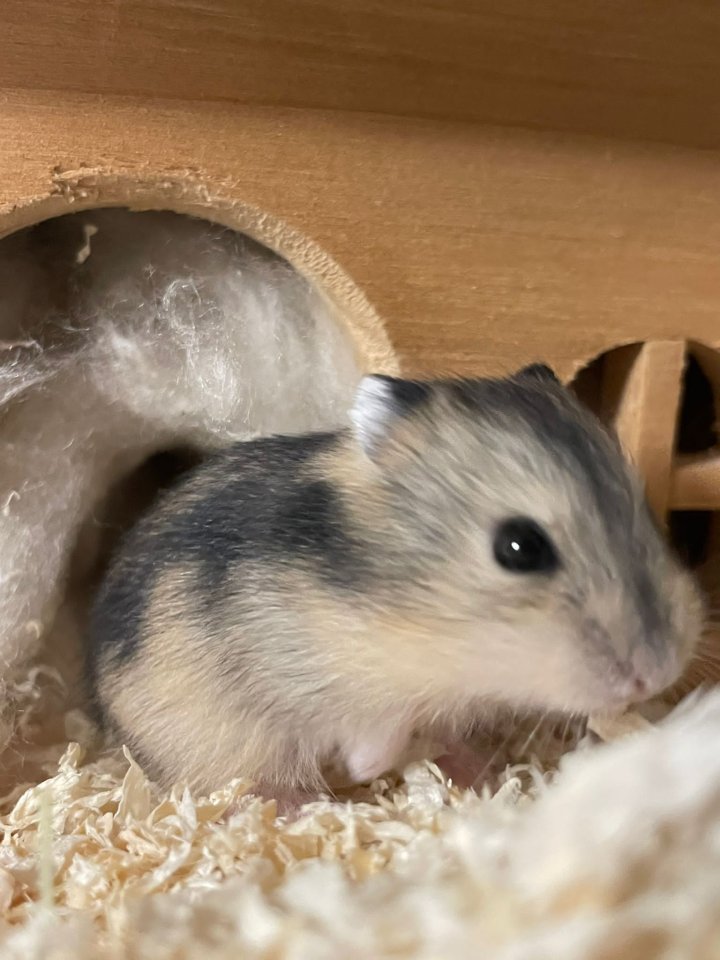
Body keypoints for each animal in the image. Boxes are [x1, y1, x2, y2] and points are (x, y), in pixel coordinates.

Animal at [86, 364, 702, 799]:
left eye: (642, 505)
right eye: (519, 547)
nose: (657, 674)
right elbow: (373, 742)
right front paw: (364, 768)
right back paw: (302, 804)